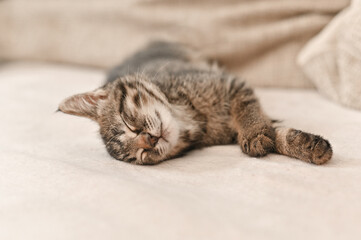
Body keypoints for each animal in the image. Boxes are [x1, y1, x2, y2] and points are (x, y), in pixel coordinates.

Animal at [59, 41, 332, 165]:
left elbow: (249, 113)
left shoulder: (232, 84)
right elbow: (275, 134)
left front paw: (254, 133)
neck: (195, 118)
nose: (150, 140)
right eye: (141, 156)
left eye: (129, 125)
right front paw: (307, 146)